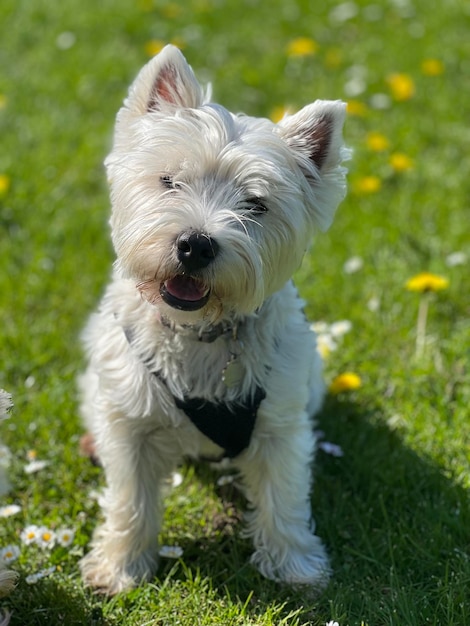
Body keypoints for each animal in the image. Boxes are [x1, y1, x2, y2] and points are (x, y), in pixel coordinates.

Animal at [78, 46, 348, 592]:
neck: (200, 333)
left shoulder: (281, 424)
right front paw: (119, 568)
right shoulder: (131, 426)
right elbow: (131, 501)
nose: (195, 245)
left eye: (255, 204)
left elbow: (284, 496)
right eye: (170, 180)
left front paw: (296, 565)